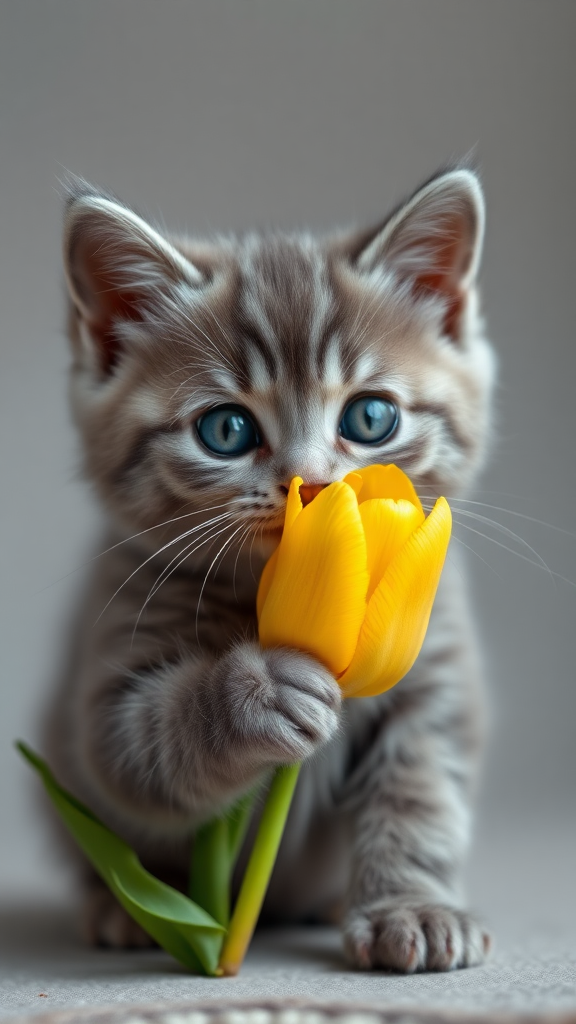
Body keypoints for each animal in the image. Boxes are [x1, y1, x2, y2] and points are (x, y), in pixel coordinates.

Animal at [44, 165, 494, 966]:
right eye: (226, 430)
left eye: (370, 418)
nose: (309, 484)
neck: (262, 592)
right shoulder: (110, 658)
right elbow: (134, 747)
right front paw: (257, 693)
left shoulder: (436, 668)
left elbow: (421, 790)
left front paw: (411, 908)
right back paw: (124, 911)